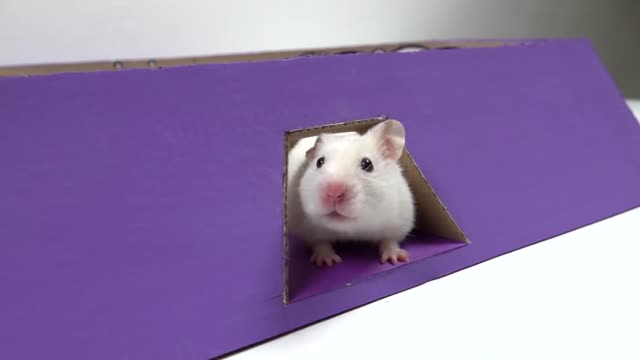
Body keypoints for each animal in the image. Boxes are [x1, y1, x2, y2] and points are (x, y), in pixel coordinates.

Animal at [284, 121, 416, 268]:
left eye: (367, 164)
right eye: (319, 162)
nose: (334, 192)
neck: (350, 230)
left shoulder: (399, 221)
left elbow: (389, 240)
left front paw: (396, 258)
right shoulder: (307, 230)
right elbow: (320, 243)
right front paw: (327, 262)